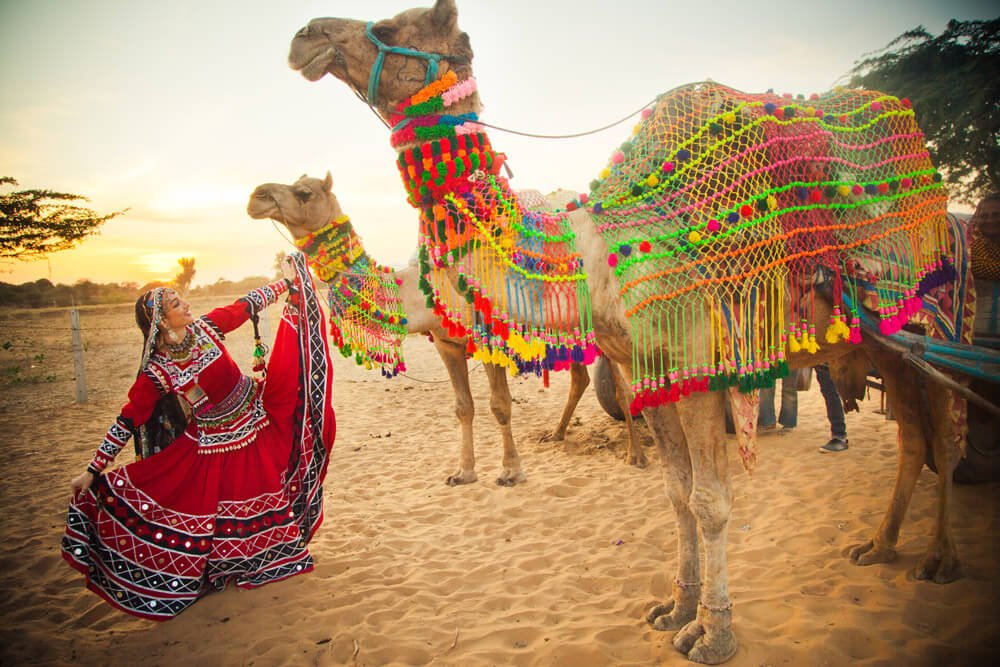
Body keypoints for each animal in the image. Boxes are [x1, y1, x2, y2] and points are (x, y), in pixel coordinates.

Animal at [247, 173, 644, 486]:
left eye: (304, 192)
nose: (257, 197)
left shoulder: (489, 338)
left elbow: (500, 405)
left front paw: (510, 471)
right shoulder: (446, 343)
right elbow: (463, 407)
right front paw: (463, 473)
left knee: (621, 384)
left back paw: (635, 454)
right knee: (581, 377)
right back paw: (557, 434)